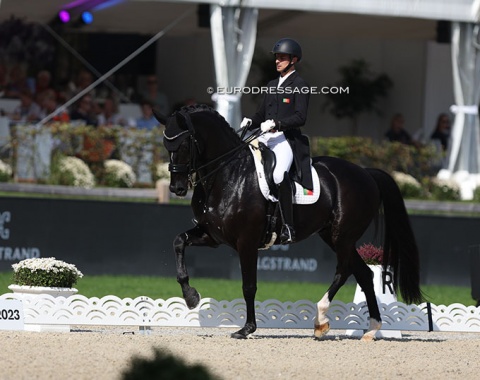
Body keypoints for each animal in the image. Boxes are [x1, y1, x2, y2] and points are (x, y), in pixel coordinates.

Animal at [154, 104, 420, 342]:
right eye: (166, 146)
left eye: (184, 144)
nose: (177, 188)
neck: (228, 175)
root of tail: (366, 173)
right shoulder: (212, 236)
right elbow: (178, 242)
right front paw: (191, 296)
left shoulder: (246, 242)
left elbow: (249, 285)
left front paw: (247, 329)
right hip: (333, 236)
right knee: (364, 274)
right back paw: (371, 329)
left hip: (342, 237)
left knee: (344, 271)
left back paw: (321, 319)